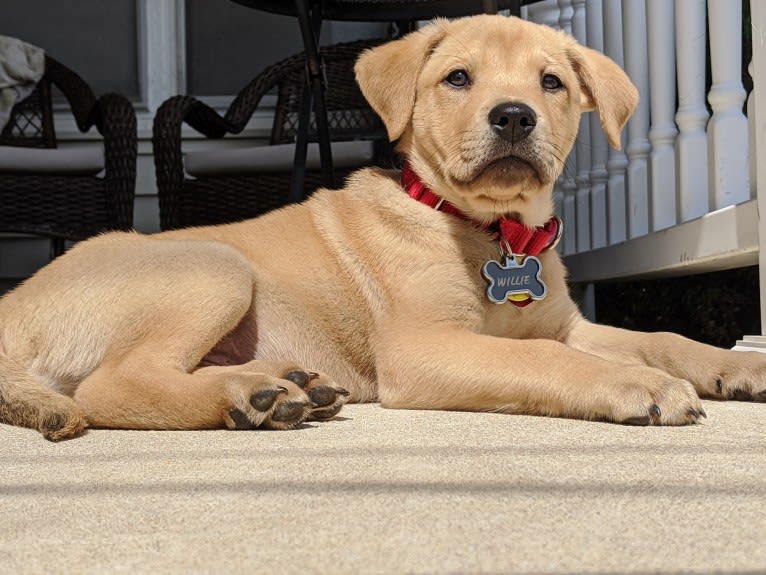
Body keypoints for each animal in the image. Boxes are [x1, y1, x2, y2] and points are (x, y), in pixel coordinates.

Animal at [1, 14, 766, 440]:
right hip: (212, 263)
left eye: (552, 82)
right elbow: (551, 363)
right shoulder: (425, 348)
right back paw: (247, 397)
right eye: (457, 78)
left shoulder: (563, 324)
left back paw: (291, 386)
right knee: (112, 386)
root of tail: (11, 311)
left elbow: (661, 338)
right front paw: (639, 385)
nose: (513, 117)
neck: (491, 231)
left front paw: (738, 367)